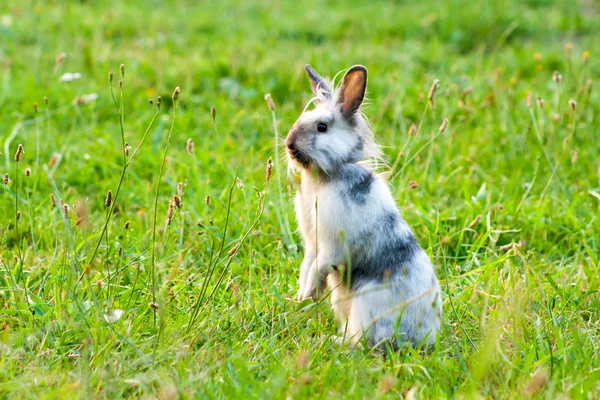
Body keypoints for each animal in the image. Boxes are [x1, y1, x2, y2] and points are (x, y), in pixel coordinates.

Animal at [286, 64, 440, 348]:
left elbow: (319, 266)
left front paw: (311, 293)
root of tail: (424, 338)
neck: (325, 177)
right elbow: (307, 265)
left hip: (365, 307)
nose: (289, 145)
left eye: (322, 127)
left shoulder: (334, 245)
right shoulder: (312, 243)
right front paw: (302, 297)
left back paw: (333, 340)